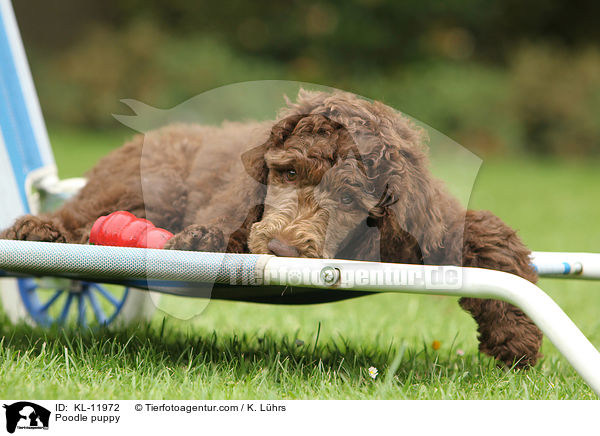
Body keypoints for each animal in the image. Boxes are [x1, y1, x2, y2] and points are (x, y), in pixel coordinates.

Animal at [0, 88, 544, 368]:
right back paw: (38, 231)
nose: (282, 248)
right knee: (82, 219)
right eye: (288, 173)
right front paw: (201, 242)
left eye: (349, 198)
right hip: (143, 183)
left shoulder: (427, 227)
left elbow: (491, 239)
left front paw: (517, 337)